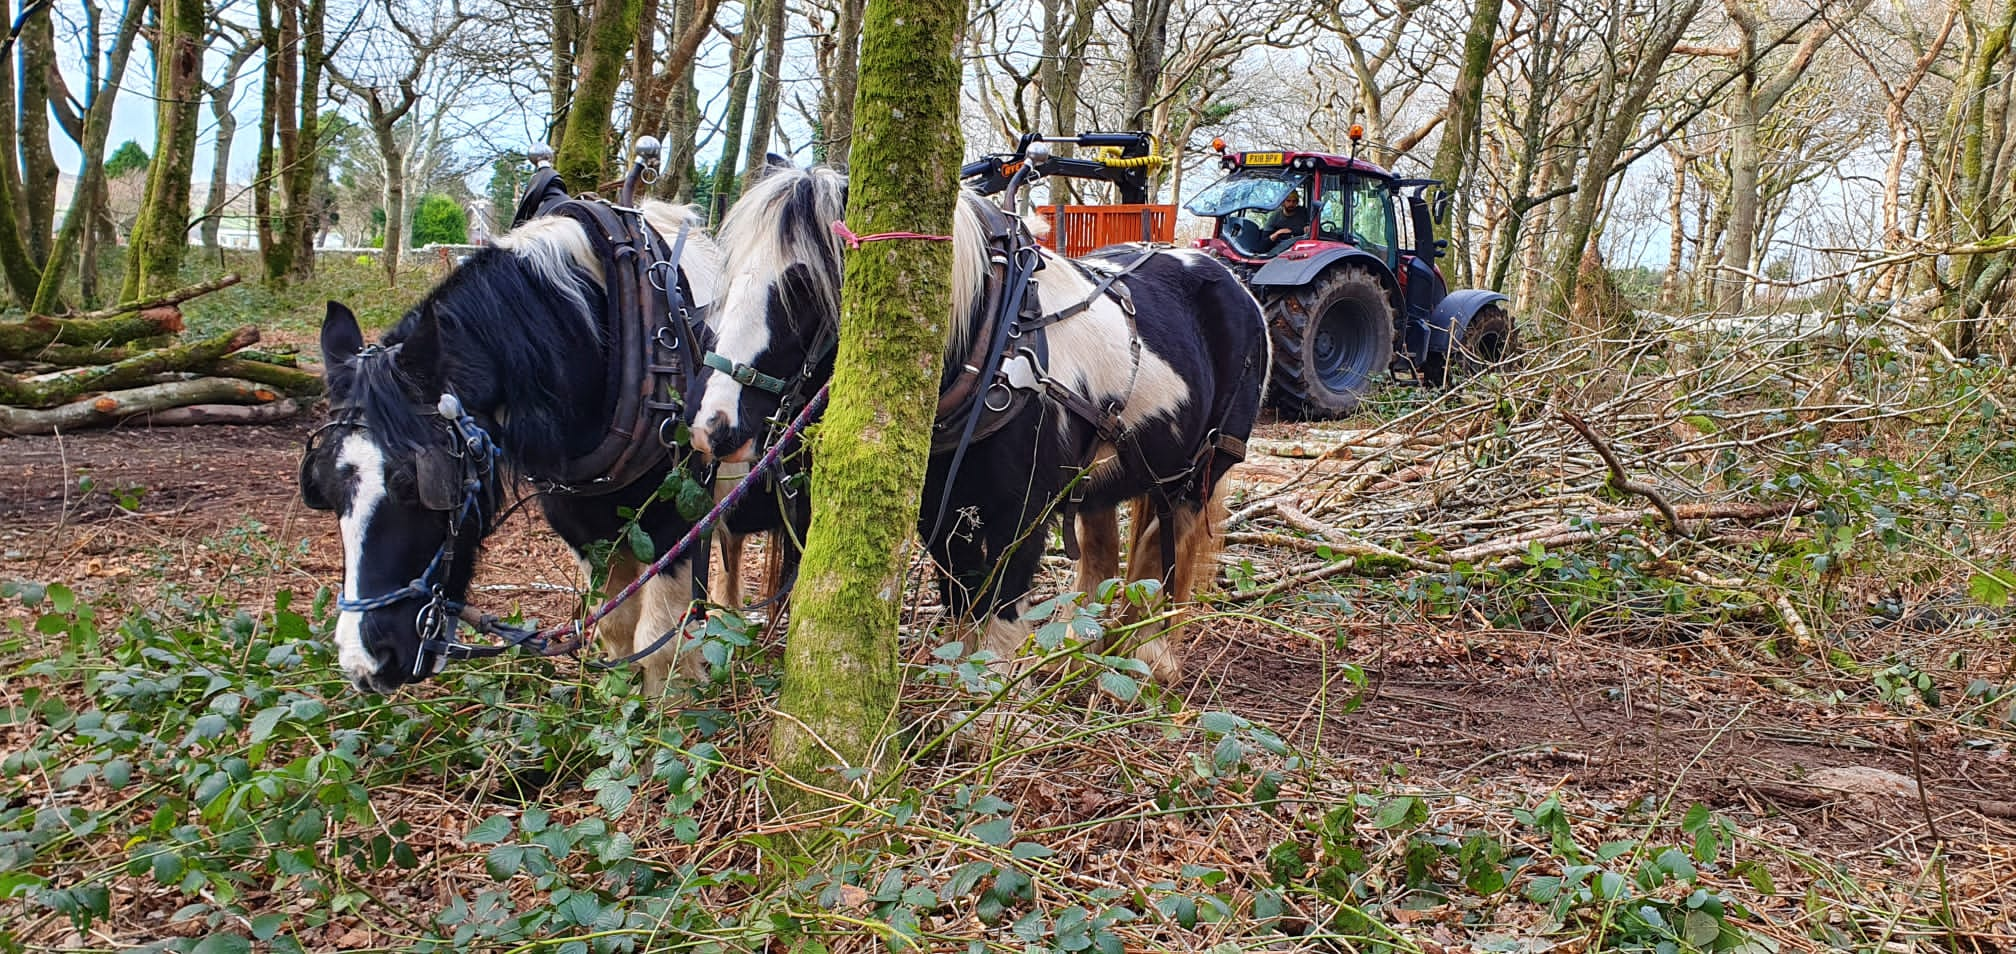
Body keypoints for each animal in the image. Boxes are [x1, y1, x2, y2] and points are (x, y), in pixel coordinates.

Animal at [302, 202, 729, 689]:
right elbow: (616, 626)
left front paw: (668, 700)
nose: (366, 664)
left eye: (414, 485)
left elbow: (658, 639)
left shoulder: (676, 511)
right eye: (322, 488)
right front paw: (616, 692)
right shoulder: (576, 518)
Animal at [685, 165, 1266, 685]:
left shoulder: (1026, 513)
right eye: (727, 278)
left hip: (1198, 472)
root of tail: (1232, 282)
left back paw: (1150, 653)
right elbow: (962, 600)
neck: (995, 342)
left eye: (802, 285)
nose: (711, 425)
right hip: (1106, 478)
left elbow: (1001, 609)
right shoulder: (941, 510)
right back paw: (1077, 654)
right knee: (1103, 551)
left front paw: (989, 711)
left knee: (1163, 554)